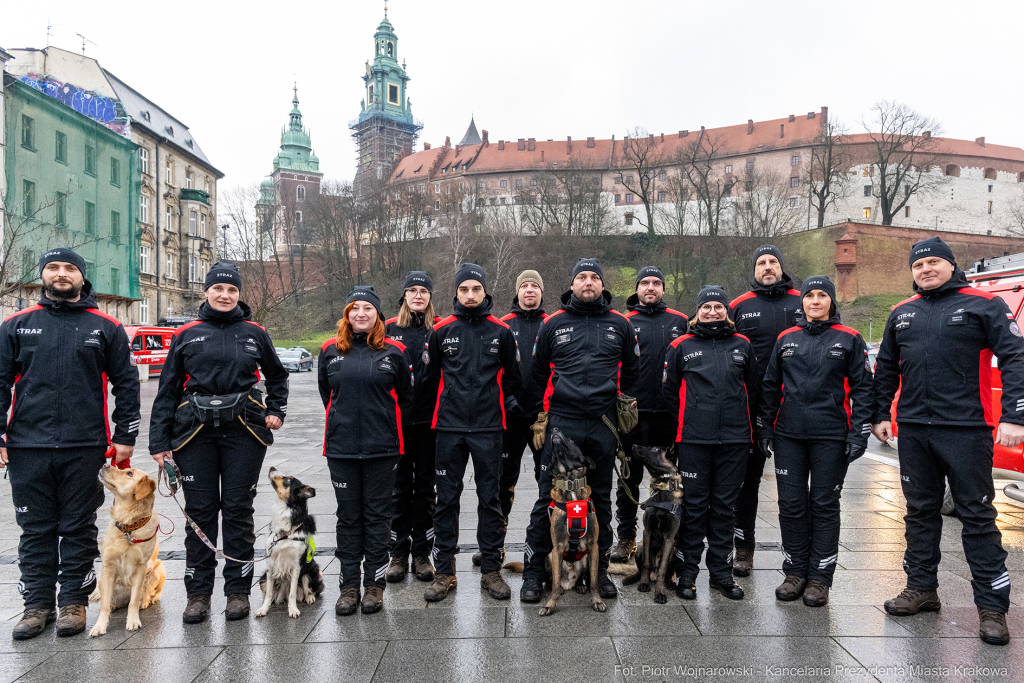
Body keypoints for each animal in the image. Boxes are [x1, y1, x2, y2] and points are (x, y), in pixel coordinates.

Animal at [88, 462, 165, 638]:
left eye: (129, 473)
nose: (105, 464)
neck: (127, 527)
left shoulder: (140, 568)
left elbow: (134, 600)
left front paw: (133, 621)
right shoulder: (107, 567)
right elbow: (104, 605)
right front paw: (99, 626)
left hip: (158, 570)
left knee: (148, 595)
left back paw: (144, 602)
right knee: (109, 599)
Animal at [253, 466, 321, 618]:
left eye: (288, 480)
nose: (272, 467)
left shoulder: (296, 566)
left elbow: (292, 593)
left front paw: (293, 610)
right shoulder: (271, 564)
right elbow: (269, 592)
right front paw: (263, 609)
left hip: (310, 573)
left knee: (311, 589)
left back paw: (309, 597)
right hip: (262, 578)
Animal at [532, 430, 602, 618]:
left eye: (571, 439)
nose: (555, 429)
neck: (571, 484)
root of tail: (568, 582)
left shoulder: (593, 546)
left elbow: (594, 580)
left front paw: (597, 600)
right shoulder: (557, 548)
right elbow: (555, 585)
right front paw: (550, 605)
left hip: (586, 559)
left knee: (583, 579)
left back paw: (580, 586)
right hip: (549, 557)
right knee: (552, 582)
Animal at [618, 446, 684, 606]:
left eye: (654, 449)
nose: (634, 445)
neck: (662, 487)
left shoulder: (669, 538)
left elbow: (662, 569)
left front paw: (660, 592)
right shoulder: (647, 532)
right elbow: (646, 564)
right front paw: (644, 583)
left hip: (675, 553)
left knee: (668, 573)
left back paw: (670, 583)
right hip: (640, 548)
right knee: (640, 569)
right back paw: (633, 578)